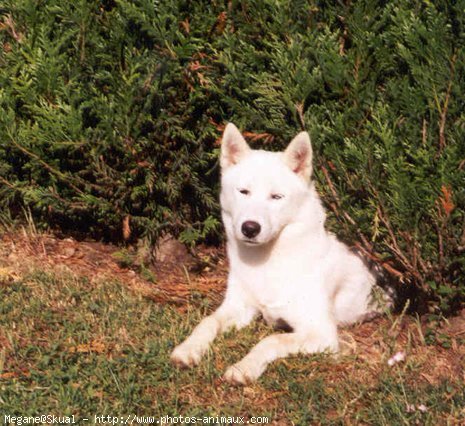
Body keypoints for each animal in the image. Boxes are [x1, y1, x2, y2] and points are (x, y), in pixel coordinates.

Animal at [170, 124, 384, 386]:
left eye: (276, 197)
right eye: (244, 192)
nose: (250, 228)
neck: (268, 263)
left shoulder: (320, 333)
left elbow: (270, 340)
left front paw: (244, 367)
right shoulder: (238, 307)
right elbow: (208, 321)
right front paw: (188, 348)